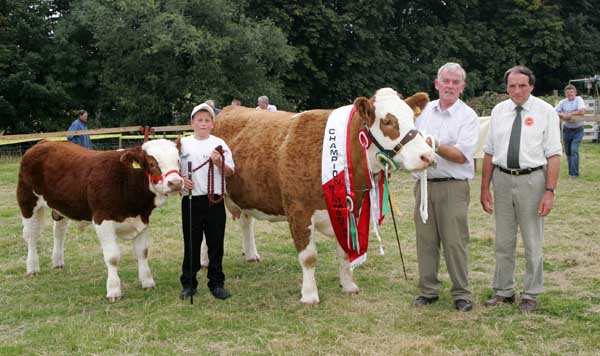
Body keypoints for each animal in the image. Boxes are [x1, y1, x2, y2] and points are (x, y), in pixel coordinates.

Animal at [18, 139, 183, 300]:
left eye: (178, 160)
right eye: (152, 163)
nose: (176, 183)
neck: (125, 180)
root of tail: (43, 142)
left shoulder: (142, 219)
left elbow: (142, 252)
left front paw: (147, 282)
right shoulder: (102, 221)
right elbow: (112, 257)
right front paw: (114, 290)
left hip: (61, 206)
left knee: (59, 232)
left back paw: (57, 261)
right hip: (27, 201)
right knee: (31, 235)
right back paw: (32, 267)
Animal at [212, 87, 436, 302]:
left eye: (412, 117)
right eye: (387, 121)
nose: (428, 156)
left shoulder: (351, 210)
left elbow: (345, 252)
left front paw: (349, 286)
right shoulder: (298, 211)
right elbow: (309, 257)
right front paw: (310, 295)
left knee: (246, 221)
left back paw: (251, 255)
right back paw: (207, 261)